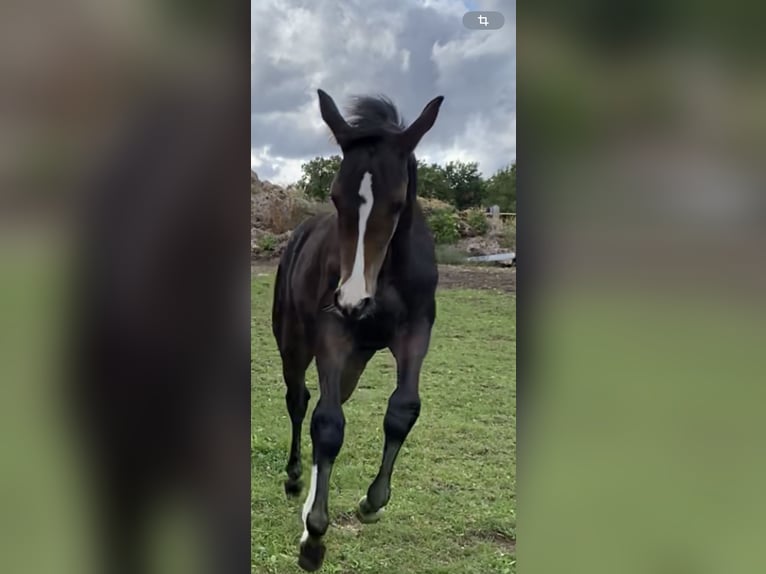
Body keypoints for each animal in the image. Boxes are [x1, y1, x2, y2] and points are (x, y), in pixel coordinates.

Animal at [272, 89, 444, 571]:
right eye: (334, 196)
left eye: (398, 203)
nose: (352, 300)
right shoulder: (333, 330)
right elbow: (327, 423)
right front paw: (313, 539)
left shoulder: (416, 330)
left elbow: (403, 409)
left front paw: (371, 503)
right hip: (294, 341)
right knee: (300, 402)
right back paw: (295, 483)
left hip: (358, 358)